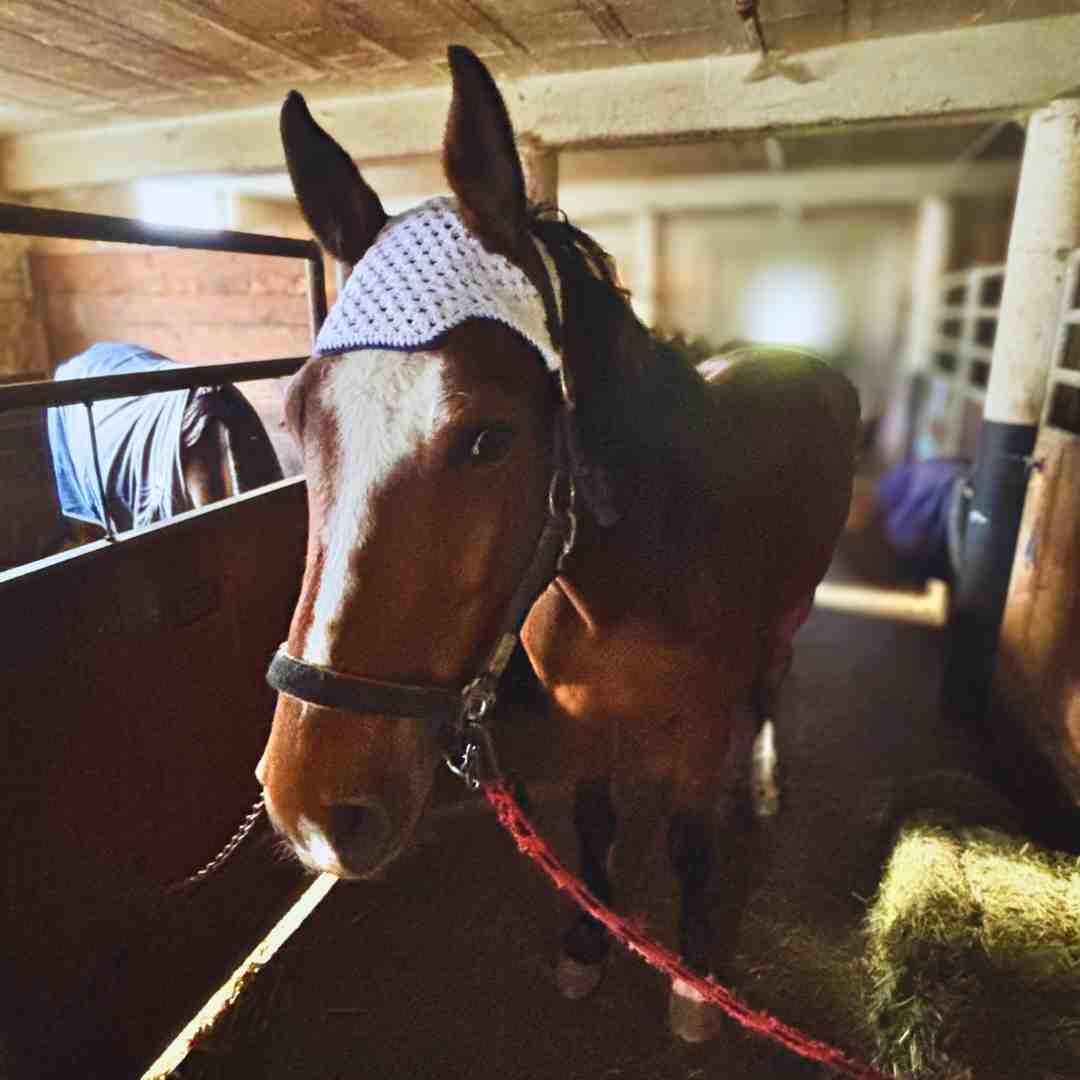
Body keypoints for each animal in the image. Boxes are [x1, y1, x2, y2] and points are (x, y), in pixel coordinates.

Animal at [255, 46, 859, 1042]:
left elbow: (689, 842)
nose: (312, 810)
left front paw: (693, 978)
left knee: (772, 687)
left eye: (488, 437)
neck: (627, 583)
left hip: (792, 612)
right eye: (300, 418)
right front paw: (589, 941)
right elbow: (593, 820)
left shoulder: (699, 732)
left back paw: (762, 786)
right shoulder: (582, 718)